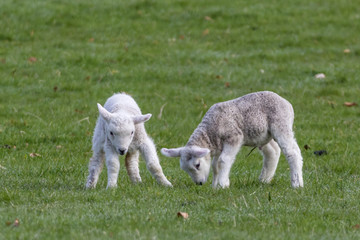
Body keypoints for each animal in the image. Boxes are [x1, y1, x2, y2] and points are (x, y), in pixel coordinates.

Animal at [162, 91, 302, 188]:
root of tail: (286, 103)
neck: (211, 131)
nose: (199, 183)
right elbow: (215, 165)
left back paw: (297, 184)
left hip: (281, 124)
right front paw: (215, 185)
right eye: (185, 169)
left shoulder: (234, 137)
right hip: (263, 134)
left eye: (197, 165)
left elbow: (223, 160)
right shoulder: (218, 146)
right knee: (273, 151)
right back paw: (264, 180)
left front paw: (222, 185)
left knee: (292, 152)